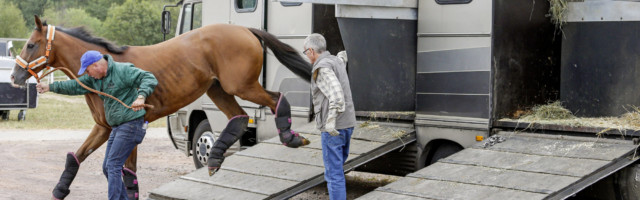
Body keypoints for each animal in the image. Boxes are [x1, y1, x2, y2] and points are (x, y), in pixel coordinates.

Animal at [9, 16, 310, 200]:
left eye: (31, 44)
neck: (103, 70)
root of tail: (245, 29)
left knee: (276, 99)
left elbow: (124, 173)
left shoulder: (123, 129)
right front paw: (59, 190)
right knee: (239, 117)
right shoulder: (106, 128)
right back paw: (214, 159)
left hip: (241, 86)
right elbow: (78, 158)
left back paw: (291, 138)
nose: (14, 76)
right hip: (218, 90)